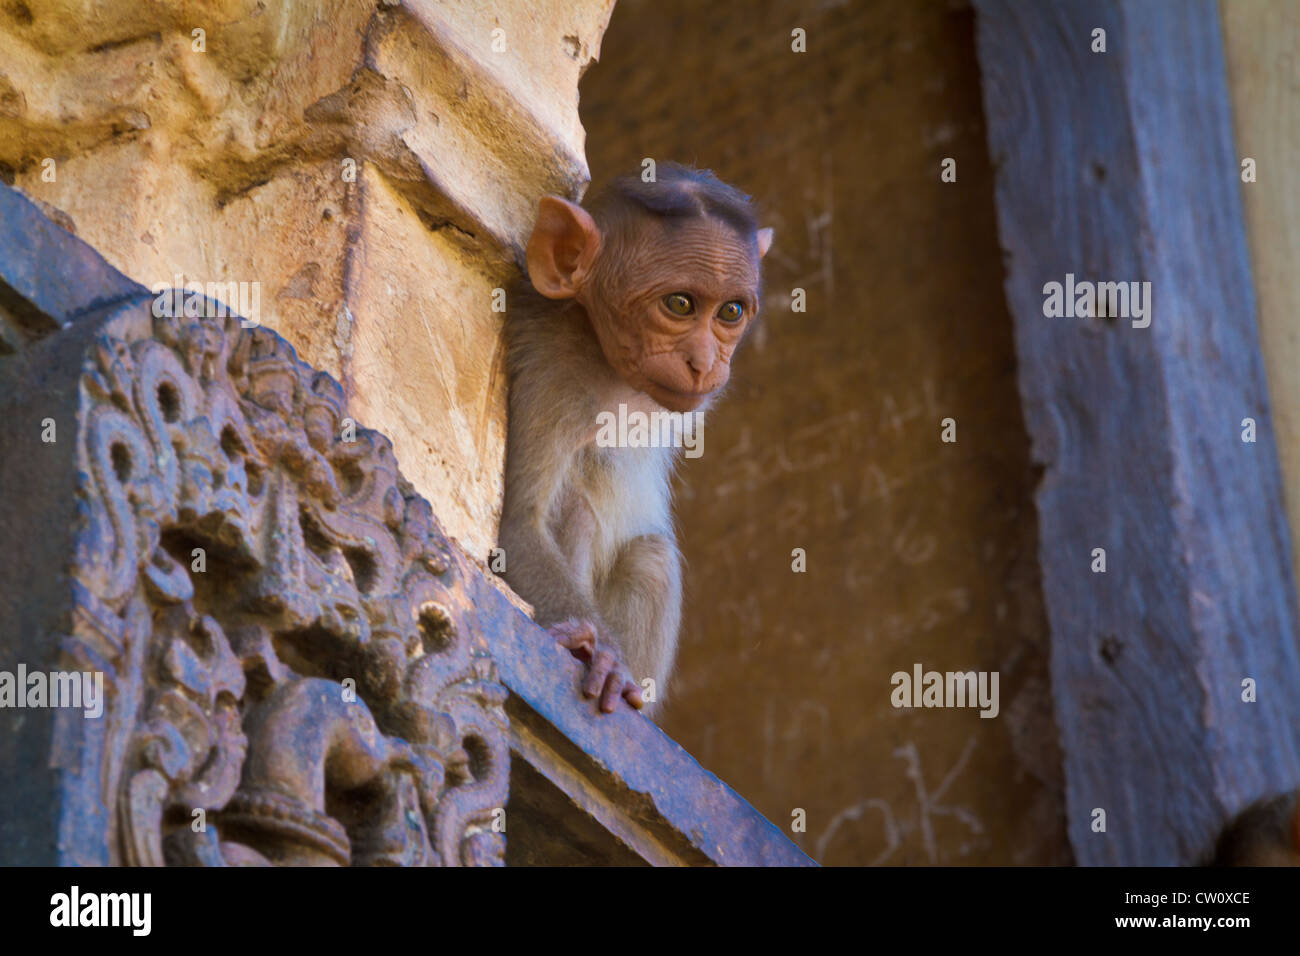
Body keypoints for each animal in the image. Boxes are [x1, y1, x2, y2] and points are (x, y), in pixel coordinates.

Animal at [496, 162, 769, 717]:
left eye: (730, 312)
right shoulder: (556, 376)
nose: (705, 363)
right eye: (679, 304)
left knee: (650, 558)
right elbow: (519, 525)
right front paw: (604, 656)